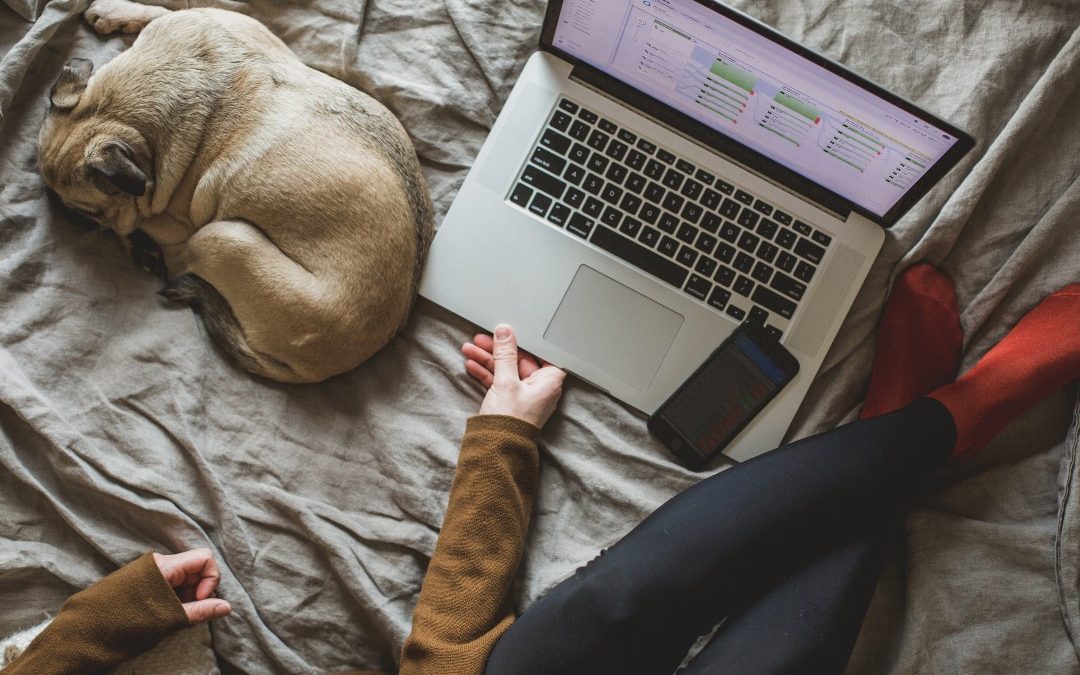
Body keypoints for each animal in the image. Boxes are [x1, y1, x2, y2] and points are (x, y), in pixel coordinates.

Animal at [39, 0, 432, 380]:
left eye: (89, 211)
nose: (60, 208)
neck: (111, 110)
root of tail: (324, 367)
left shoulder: (167, 218)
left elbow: (135, 224)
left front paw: (134, 239)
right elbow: (161, 8)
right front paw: (113, 11)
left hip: (222, 236)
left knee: (181, 261)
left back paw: (149, 254)